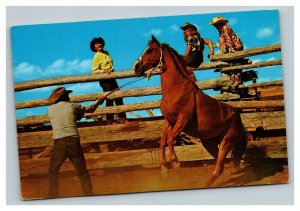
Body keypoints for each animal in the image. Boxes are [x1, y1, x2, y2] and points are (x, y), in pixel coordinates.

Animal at [135, 35, 247, 186]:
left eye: (150, 50)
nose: (136, 67)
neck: (175, 89)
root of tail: (238, 117)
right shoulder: (169, 120)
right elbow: (163, 141)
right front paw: (164, 171)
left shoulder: (183, 119)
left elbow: (170, 138)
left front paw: (176, 164)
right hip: (209, 142)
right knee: (220, 165)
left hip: (226, 141)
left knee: (219, 167)